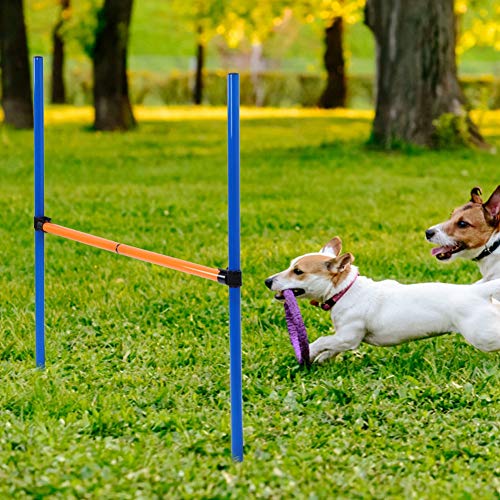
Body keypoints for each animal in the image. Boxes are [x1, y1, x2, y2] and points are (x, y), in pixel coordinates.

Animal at [266, 238, 500, 364]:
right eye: (291, 265)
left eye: (298, 271)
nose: (268, 281)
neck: (345, 290)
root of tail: (477, 292)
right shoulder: (344, 338)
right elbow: (332, 346)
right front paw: (323, 359)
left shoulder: (350, 336)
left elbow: (323, 340)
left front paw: (311, 352)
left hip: (482, 335)